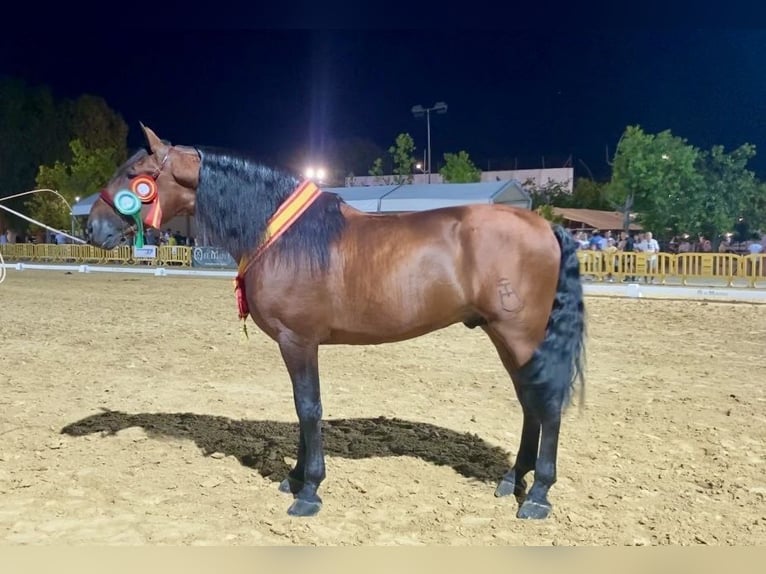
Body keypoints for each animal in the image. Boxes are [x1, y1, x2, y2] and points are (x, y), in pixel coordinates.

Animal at [85, 125, 588, 520]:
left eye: (135, 175)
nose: (93, 228)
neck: (283, 235)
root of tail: (547, 227)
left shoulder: (298, 341)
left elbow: (309, 408)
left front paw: (308, 490)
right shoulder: (296, 345)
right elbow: (299, 408)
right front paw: (293, 478)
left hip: (519, 335)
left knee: (546, 406)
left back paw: (537, 496)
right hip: (507, 338)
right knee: (530, 404)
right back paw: (512, 480)